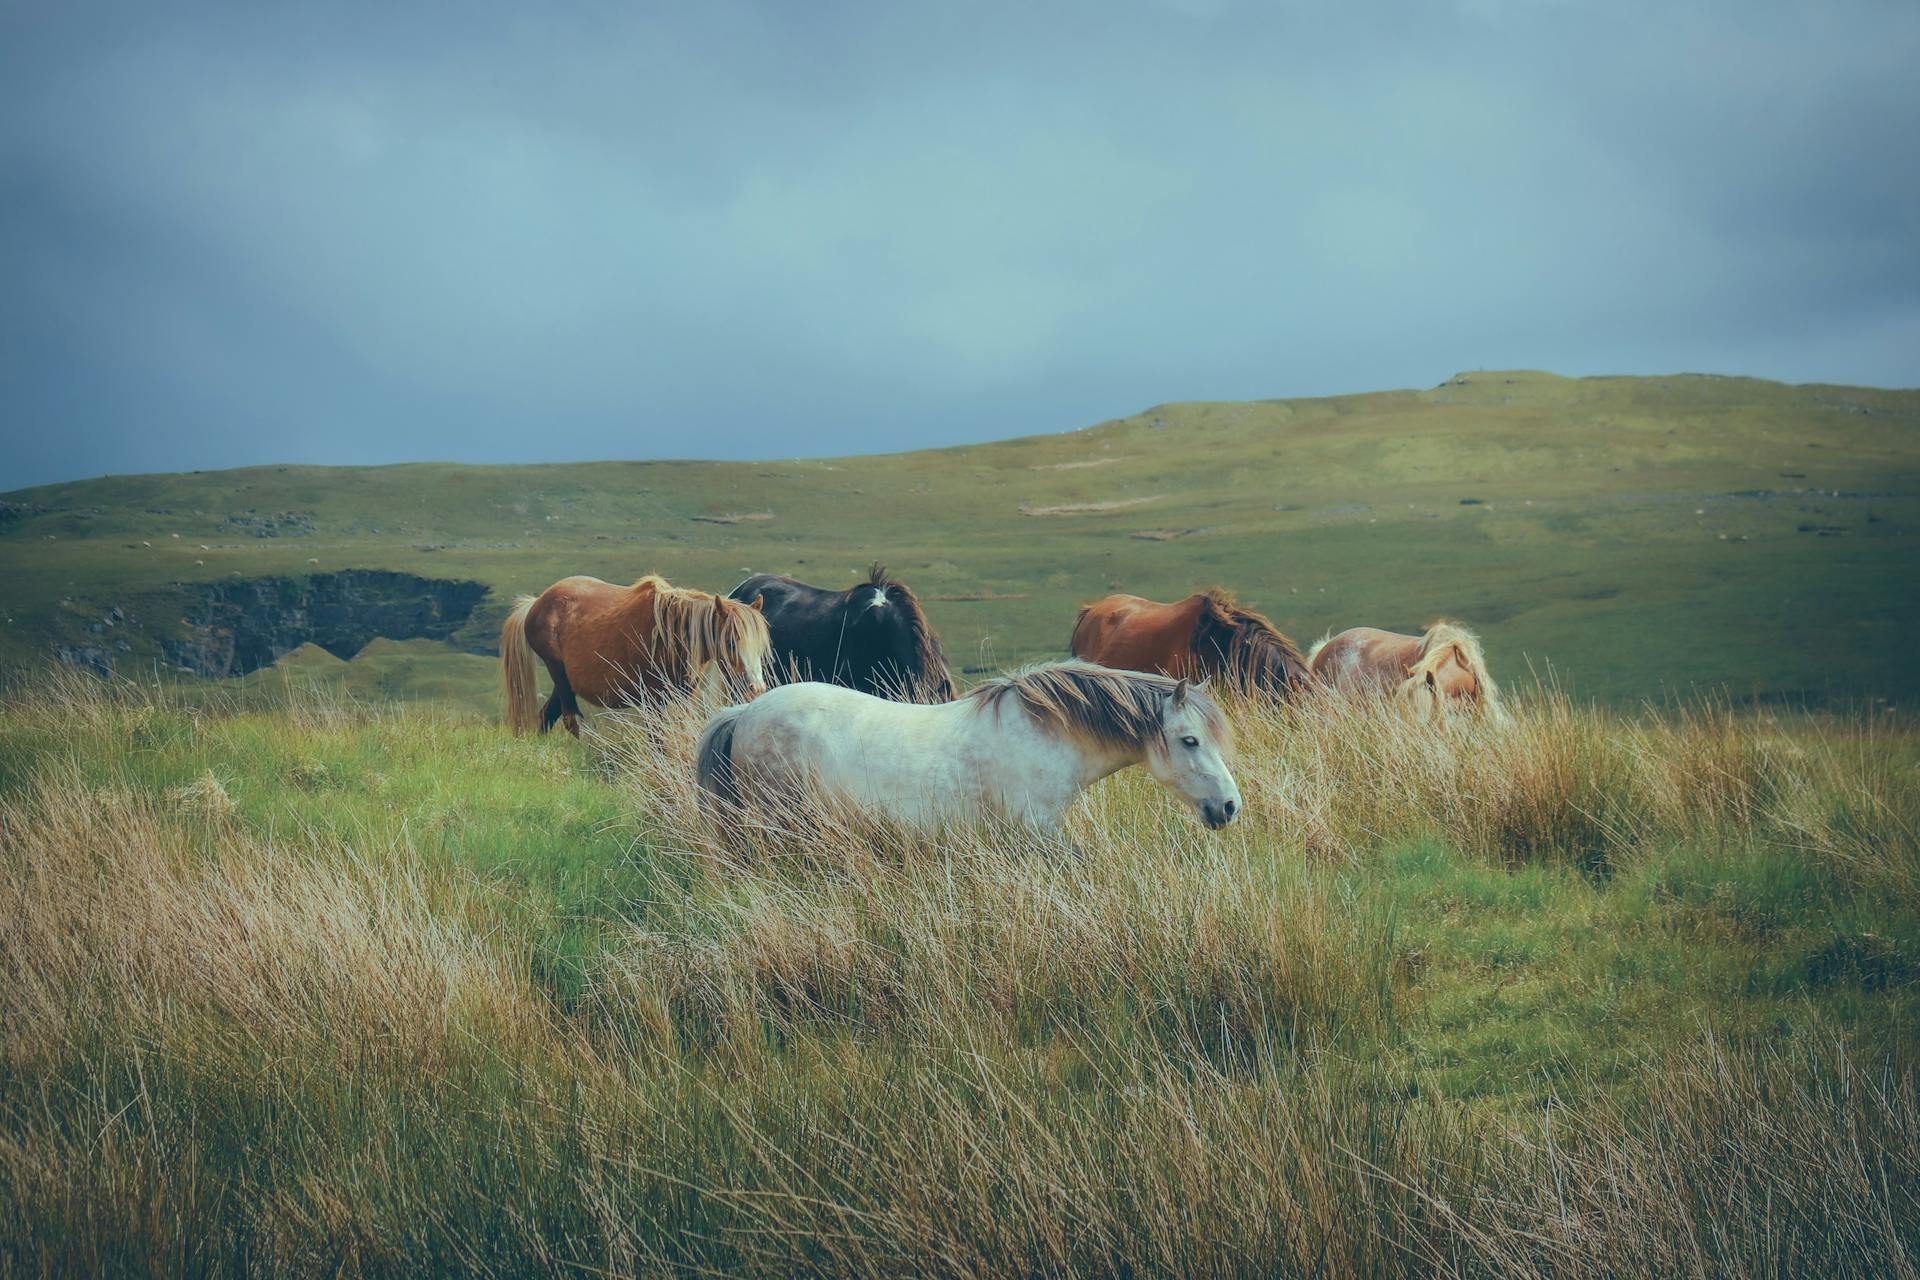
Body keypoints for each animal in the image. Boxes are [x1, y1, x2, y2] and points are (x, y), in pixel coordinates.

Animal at [499, 575, 775, 736]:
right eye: (731, 642)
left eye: (761, 647)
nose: (756, 689)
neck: (672, 634)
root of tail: (536, 604)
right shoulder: (652, 701)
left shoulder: (686, 698)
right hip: (557, 672)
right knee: (572, 721)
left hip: (566, 681)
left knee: (547, 716)